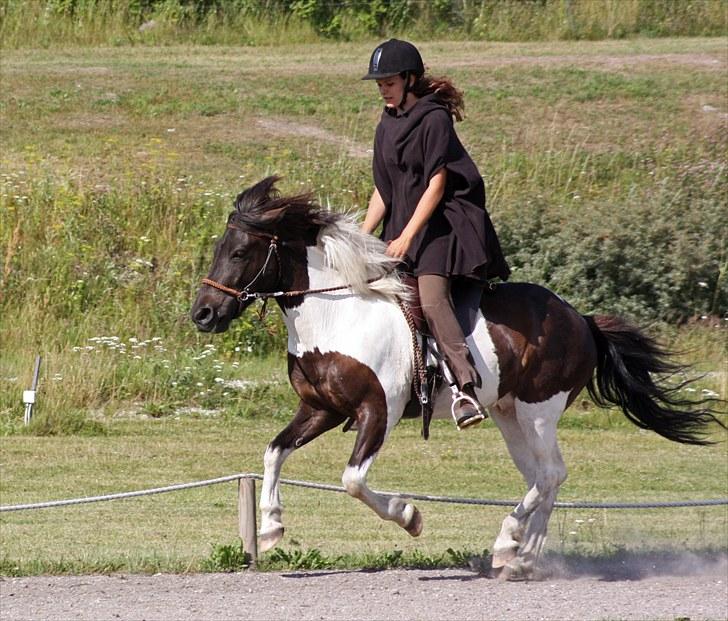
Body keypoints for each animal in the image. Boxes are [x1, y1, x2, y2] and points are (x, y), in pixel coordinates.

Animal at [191, 177, 724, 580]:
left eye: (240, 252)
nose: (203, 314)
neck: (337, 313)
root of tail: (580, 319)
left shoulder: (377, 412)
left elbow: (353, 481)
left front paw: (410, 516)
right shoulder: (320, 409)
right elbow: (273, 452)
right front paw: (270, 527)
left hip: (538, 410)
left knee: (550, 474)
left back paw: (510, 545)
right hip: (509, 414)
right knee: (542, 478)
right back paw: (519, 556)